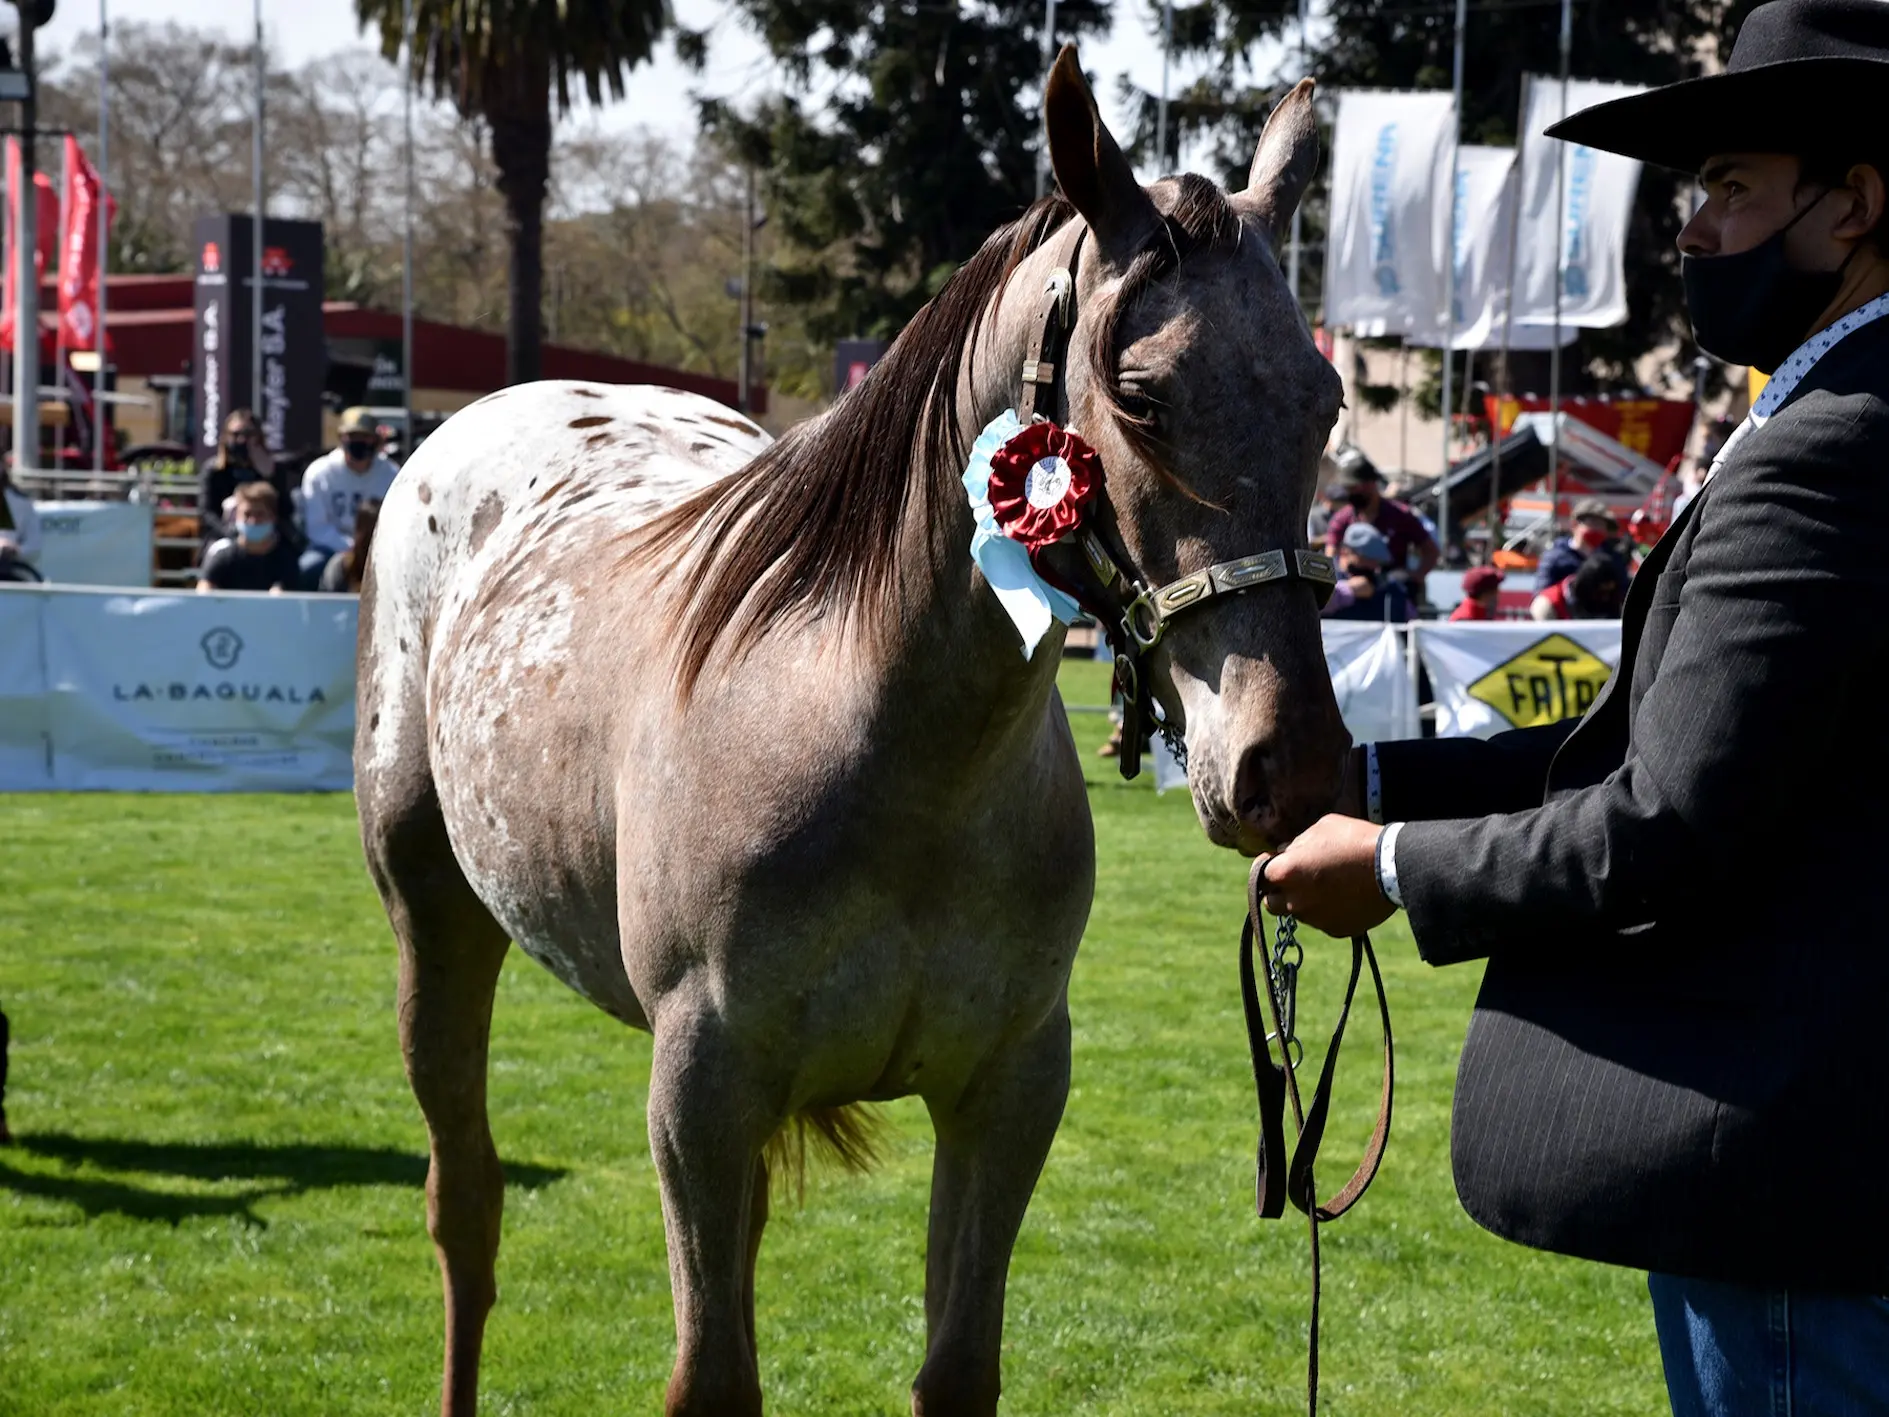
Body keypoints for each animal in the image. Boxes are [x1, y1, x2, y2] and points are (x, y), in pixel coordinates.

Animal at [357, 50, 1344, 1417]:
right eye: (1139, 398)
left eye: (1324, 399)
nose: (1284, 765)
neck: (893, 761)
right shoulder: (698, 1093)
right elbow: (711, 1376)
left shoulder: (1006, 1089)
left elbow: (955, 1365)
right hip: (435, 924)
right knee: (466, 1208)